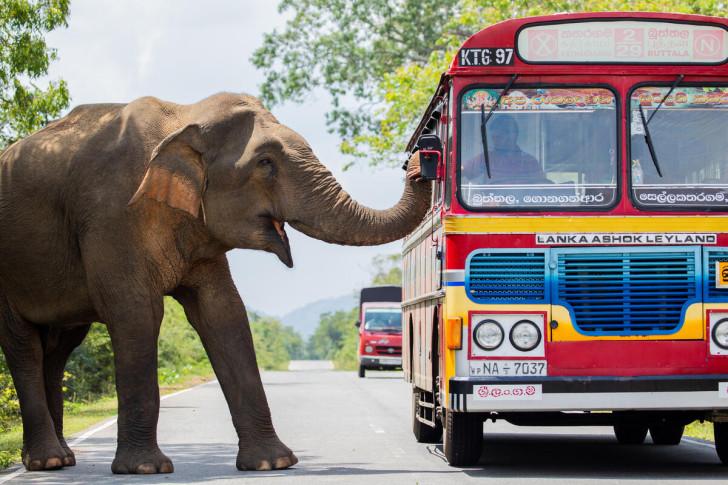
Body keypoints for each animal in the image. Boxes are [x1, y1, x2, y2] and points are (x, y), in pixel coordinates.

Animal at [0, 92, 431, 474]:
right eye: (265, 162)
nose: (420, 157)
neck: (182, 117)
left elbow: (223, 313)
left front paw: (273, 463)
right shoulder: (110, 218)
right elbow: (138, 314)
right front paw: (146, 468)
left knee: (59, 348)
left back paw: (59, 459)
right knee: (25, 347)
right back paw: (48, 461)